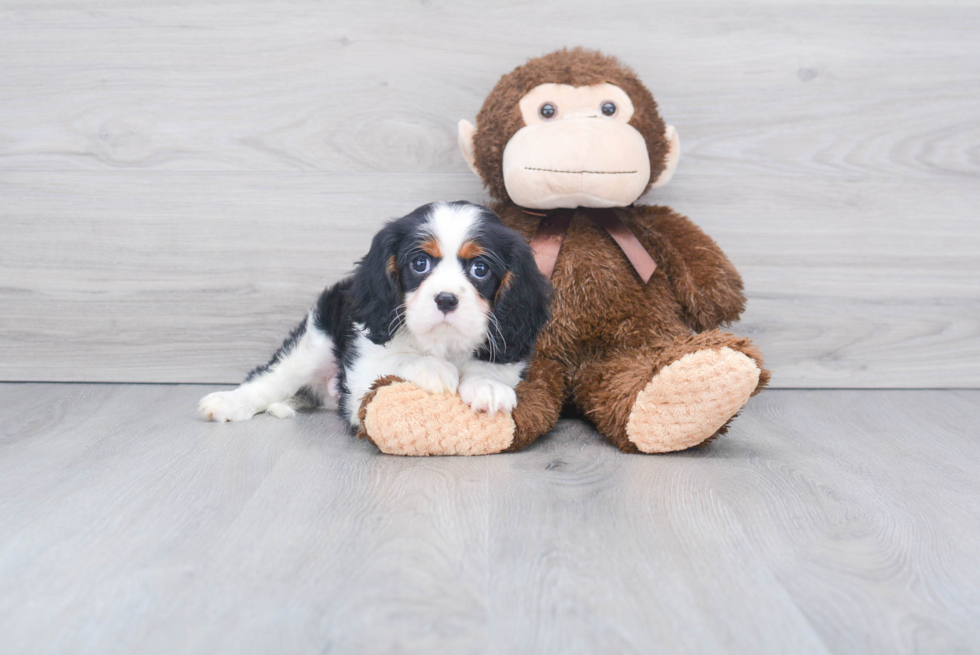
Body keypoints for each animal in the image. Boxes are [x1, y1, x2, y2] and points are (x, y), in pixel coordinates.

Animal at [199, 202, 552, 434]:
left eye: (480, 269)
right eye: (420, 264)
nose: (446, 299)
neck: (441, 344)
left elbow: (490, 368)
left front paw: (486, 386)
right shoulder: (359, 377)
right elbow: (397, 359)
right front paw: (433, 368)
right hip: (315, 342)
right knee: (271, 378)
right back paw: (228, 403)